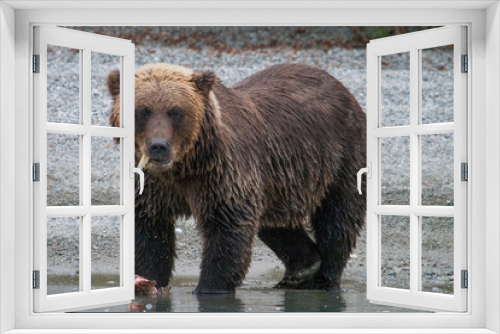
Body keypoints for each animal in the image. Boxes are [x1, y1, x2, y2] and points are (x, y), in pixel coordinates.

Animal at [107, 63, 366, 294]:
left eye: (175, 111)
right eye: (142, 111)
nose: (158, 147)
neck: (185, 167)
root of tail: (340, 86)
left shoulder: (222, 175)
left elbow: (227, 230)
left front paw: (209, 288)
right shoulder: (152, 185)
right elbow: (149, 233)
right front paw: (148, 282)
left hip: (339, 158)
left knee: (337, 218)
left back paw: (323, 278)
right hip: (278, 182)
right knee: (275, 223)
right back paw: (301, 270)